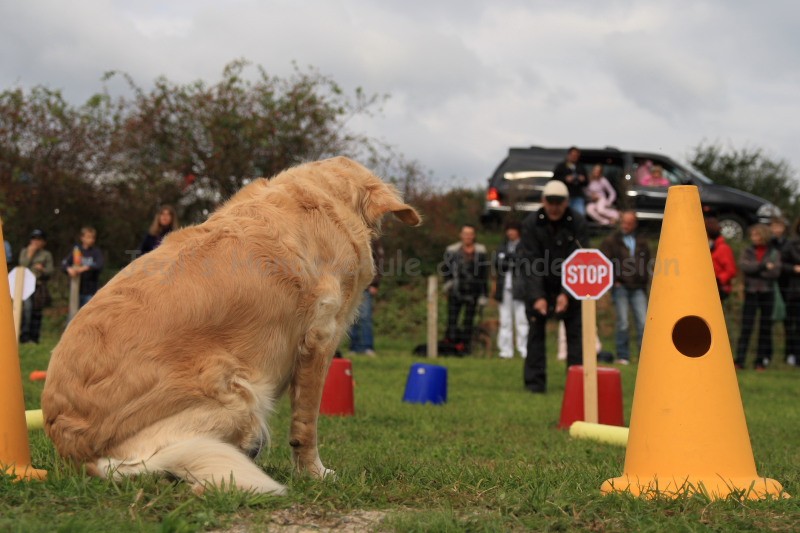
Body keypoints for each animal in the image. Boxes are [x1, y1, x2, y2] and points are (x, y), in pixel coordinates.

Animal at [41, 157, 422, 494]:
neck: (326, 194)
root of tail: (79, 455)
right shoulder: (320, 337)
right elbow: (306, 425)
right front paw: (314, 473)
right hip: (241, 392)